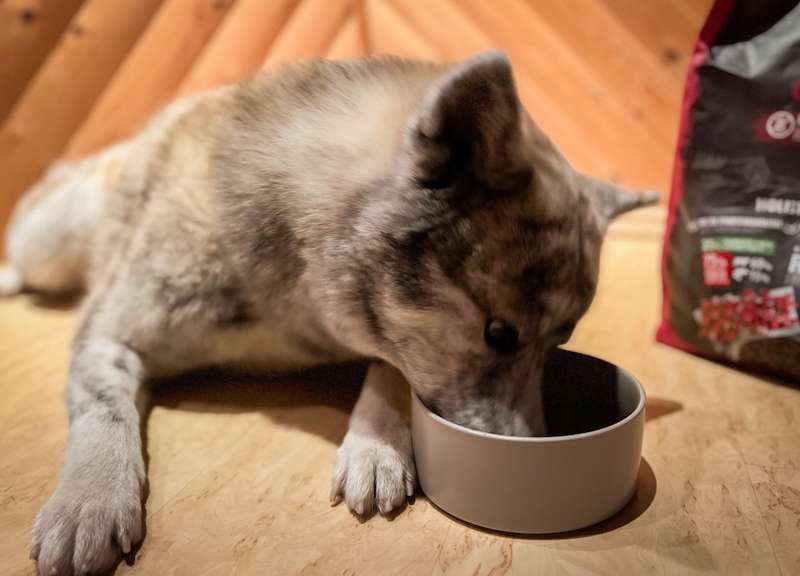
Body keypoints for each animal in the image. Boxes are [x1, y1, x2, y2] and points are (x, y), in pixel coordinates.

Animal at [1, 51, 656, 572]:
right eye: (499, 333)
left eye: (561, 340)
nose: (532, 452)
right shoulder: (109, 333)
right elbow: (103, 413)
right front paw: (89, 500)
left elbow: (391, 366)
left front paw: (375, 445)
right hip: (52, 243)